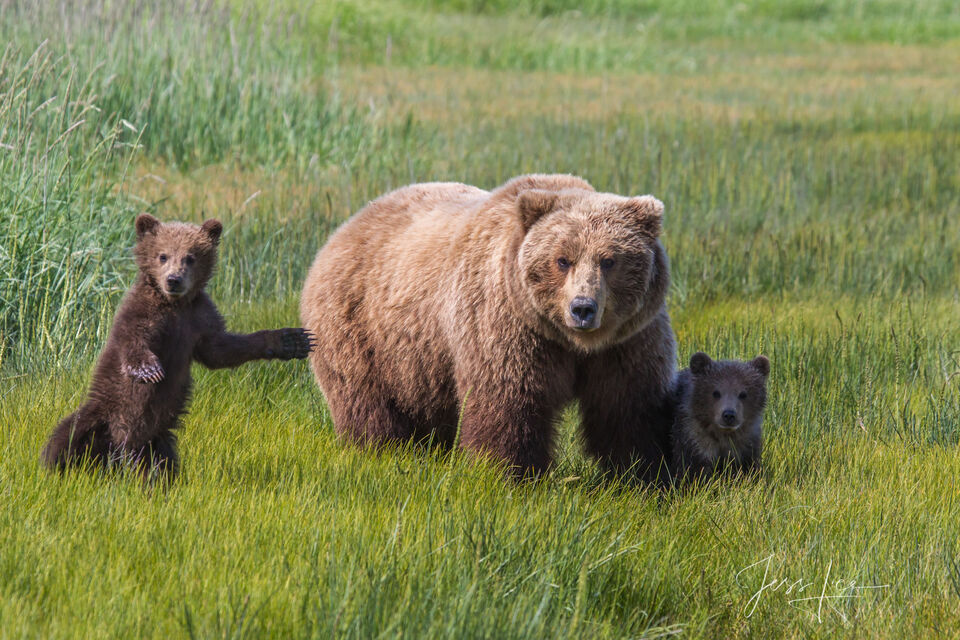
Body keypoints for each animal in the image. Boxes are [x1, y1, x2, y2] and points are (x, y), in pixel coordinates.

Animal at [41, 213, 315, 480]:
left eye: (190, 257)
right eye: (162, 255)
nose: (174, 279)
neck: (175, 304)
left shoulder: (198, 318)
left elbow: (221, 350)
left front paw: (291, 340)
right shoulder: (146, 311)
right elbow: (134, 337)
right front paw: (149, 369)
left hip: (157, 438)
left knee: (158, 462)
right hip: (105, 413)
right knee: (65, 437)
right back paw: (57, 467)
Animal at [301, 174, 676, 481]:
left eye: (609, 260)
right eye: (562, 260)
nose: (582, 308)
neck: (570, 342)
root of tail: (344, 228)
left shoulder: (626, 342)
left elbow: (626, 405)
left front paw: (641, 473)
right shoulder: (506, 324)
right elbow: (508, 397)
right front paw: (508, 472)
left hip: (420, 358)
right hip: (361, 330)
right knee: (366, 399)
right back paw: (380, 448)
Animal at [670, 352, 770, 483]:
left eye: (743, 394)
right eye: (716, 393)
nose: (729, 415)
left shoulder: (746, 443)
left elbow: (748, 469)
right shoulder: (694, 439)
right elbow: (693, 471)